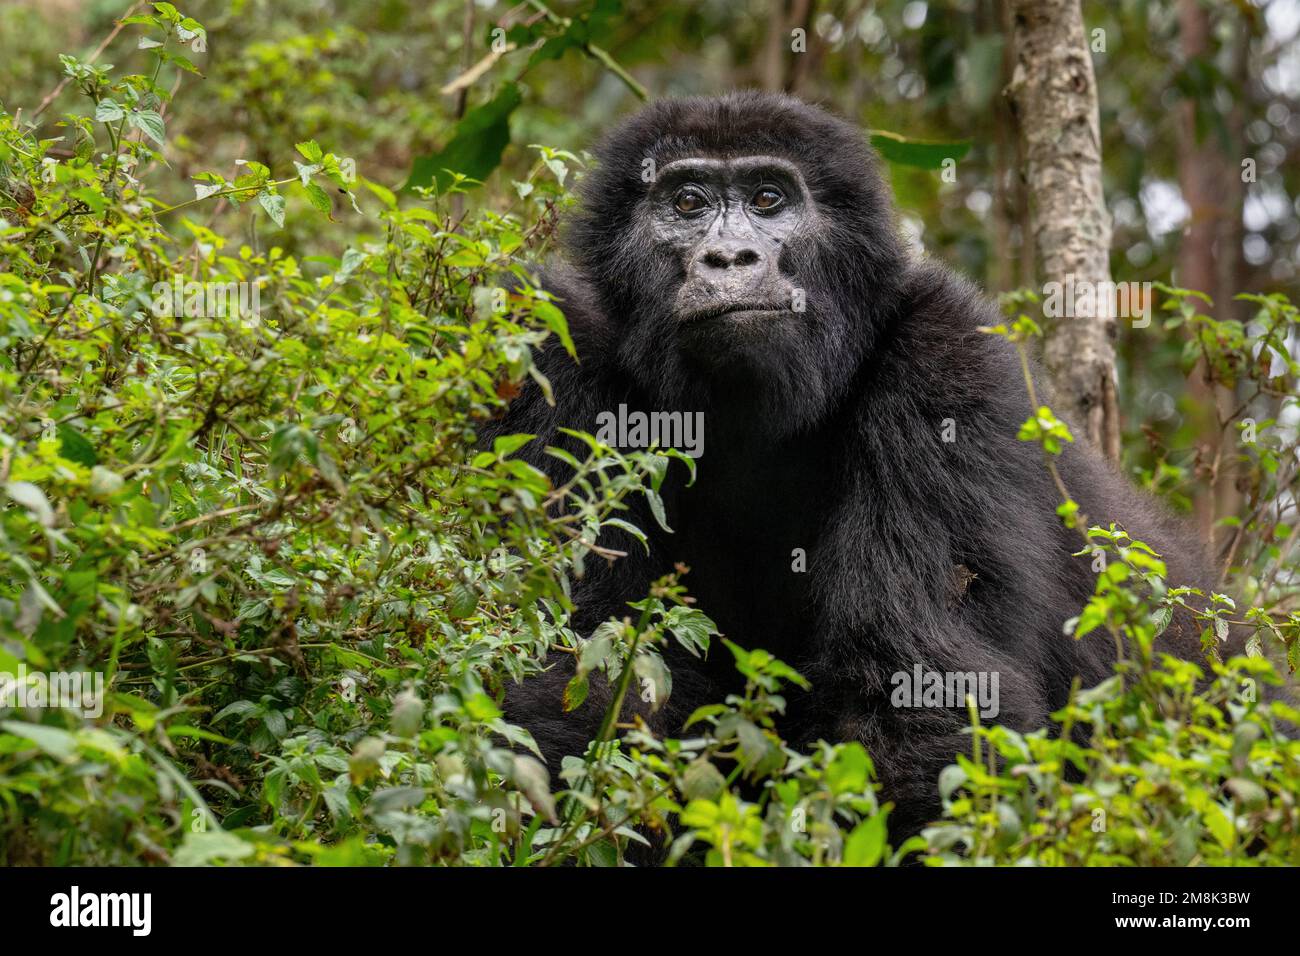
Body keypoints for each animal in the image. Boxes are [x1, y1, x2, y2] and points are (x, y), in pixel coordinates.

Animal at [486, 91, 1227, 837]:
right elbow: (586, 677)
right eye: (688, 203)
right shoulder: (555, 345)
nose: (729, 257)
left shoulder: (947, 351)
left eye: (768, 198)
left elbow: (914, 690)